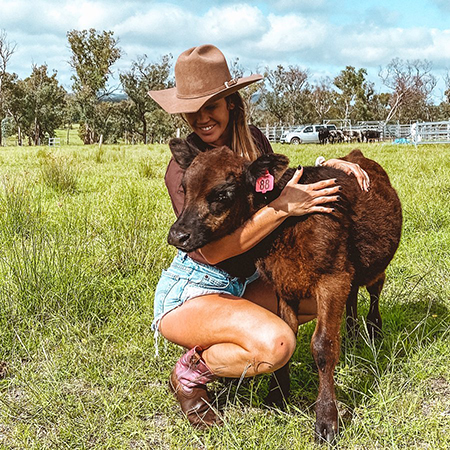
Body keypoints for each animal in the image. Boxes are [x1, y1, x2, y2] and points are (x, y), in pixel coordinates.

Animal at [167, 139, 402, 442]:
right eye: (184, 188)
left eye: (223, 194)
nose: (178, 235)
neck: (286, 229)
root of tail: (357, 154)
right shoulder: (285, 284)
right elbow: (288, 334)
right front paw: (277, 396)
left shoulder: (333, 279)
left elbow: (323, 346)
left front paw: (326, 420)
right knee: (352, 300)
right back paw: (351, 337)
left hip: (373, 268)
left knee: (373, 294)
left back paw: (373, 333)